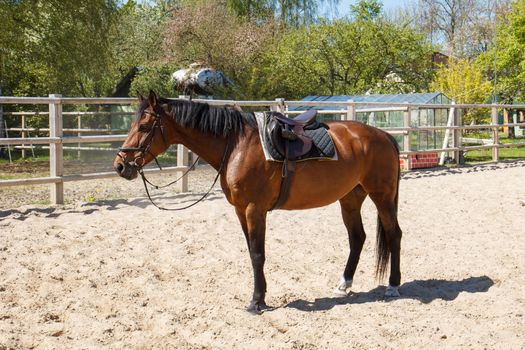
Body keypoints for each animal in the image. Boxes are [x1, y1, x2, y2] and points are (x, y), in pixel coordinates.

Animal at [113, 91, 402, 314]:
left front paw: (256, 302)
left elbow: (257, 254)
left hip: (382, 196)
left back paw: (393, 285)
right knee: (357, 237)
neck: (236, 146)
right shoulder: (241, 211)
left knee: (393, 234)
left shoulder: (255, 210)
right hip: (350, 198)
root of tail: (384, 136)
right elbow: (253, 253)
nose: (120, 165)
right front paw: (259, 297)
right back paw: (344, 284)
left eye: (144, 127)